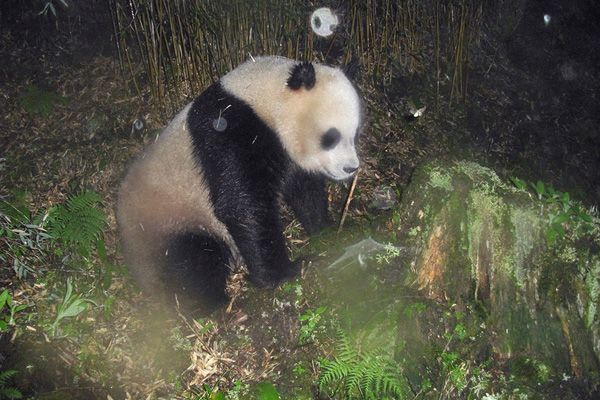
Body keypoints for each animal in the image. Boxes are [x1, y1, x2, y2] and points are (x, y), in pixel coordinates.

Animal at [116, 56, 360, 312]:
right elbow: (242, 204)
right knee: (192, 260)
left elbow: (305, 188)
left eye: (354, 134)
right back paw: (210, 303)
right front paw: (284, 272)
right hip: (170, 220)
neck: (265, 100)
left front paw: (326, 230)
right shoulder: (230, 133)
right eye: (331, 137)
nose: (350, 168)